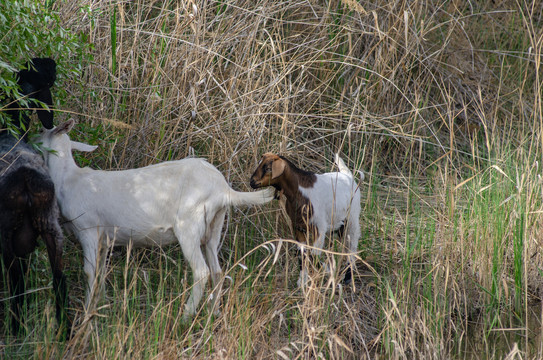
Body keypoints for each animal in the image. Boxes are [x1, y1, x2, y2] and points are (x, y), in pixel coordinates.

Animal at [0, 57, 70, 336]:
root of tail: (26, 178)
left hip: (7, 233)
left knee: (17, 285)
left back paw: (16, 333)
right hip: (51, 227)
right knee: (59, 280)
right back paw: (65, 333)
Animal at [38, 120, 274, 318]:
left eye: (40, 135)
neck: (68, 178)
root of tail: (224, 190)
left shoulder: (87, 229)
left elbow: (90, 272)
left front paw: (87, 313)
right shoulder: (104, 238)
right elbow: (101, 271)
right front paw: (102, 305)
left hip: (189, 225)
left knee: (201, 271)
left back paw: (185, 317)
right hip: (214, 226)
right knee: (216, 270)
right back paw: (213, 313)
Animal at [252, 153, 364, 286]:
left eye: (268, 168)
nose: (252, 182)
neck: (299, 191)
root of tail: (347, 175)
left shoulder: (319, 228)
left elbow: (314, 255)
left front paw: (324, 273)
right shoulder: (298, 227)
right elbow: (302, 254)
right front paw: (302, 282)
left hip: (352, 218)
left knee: (352, 246)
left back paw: (347, 276)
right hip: (337, 224)